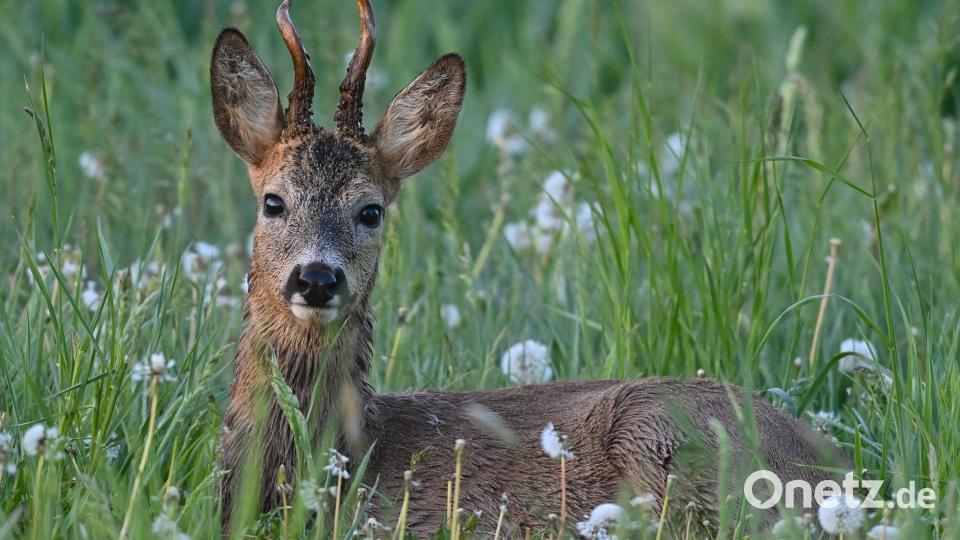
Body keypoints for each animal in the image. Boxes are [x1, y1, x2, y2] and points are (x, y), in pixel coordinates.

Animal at [210, 0, 848, 535]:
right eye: (273, 202)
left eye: (370, 210)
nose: (317, 278)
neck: (356, 451)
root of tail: (831, 464)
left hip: (661, 430)